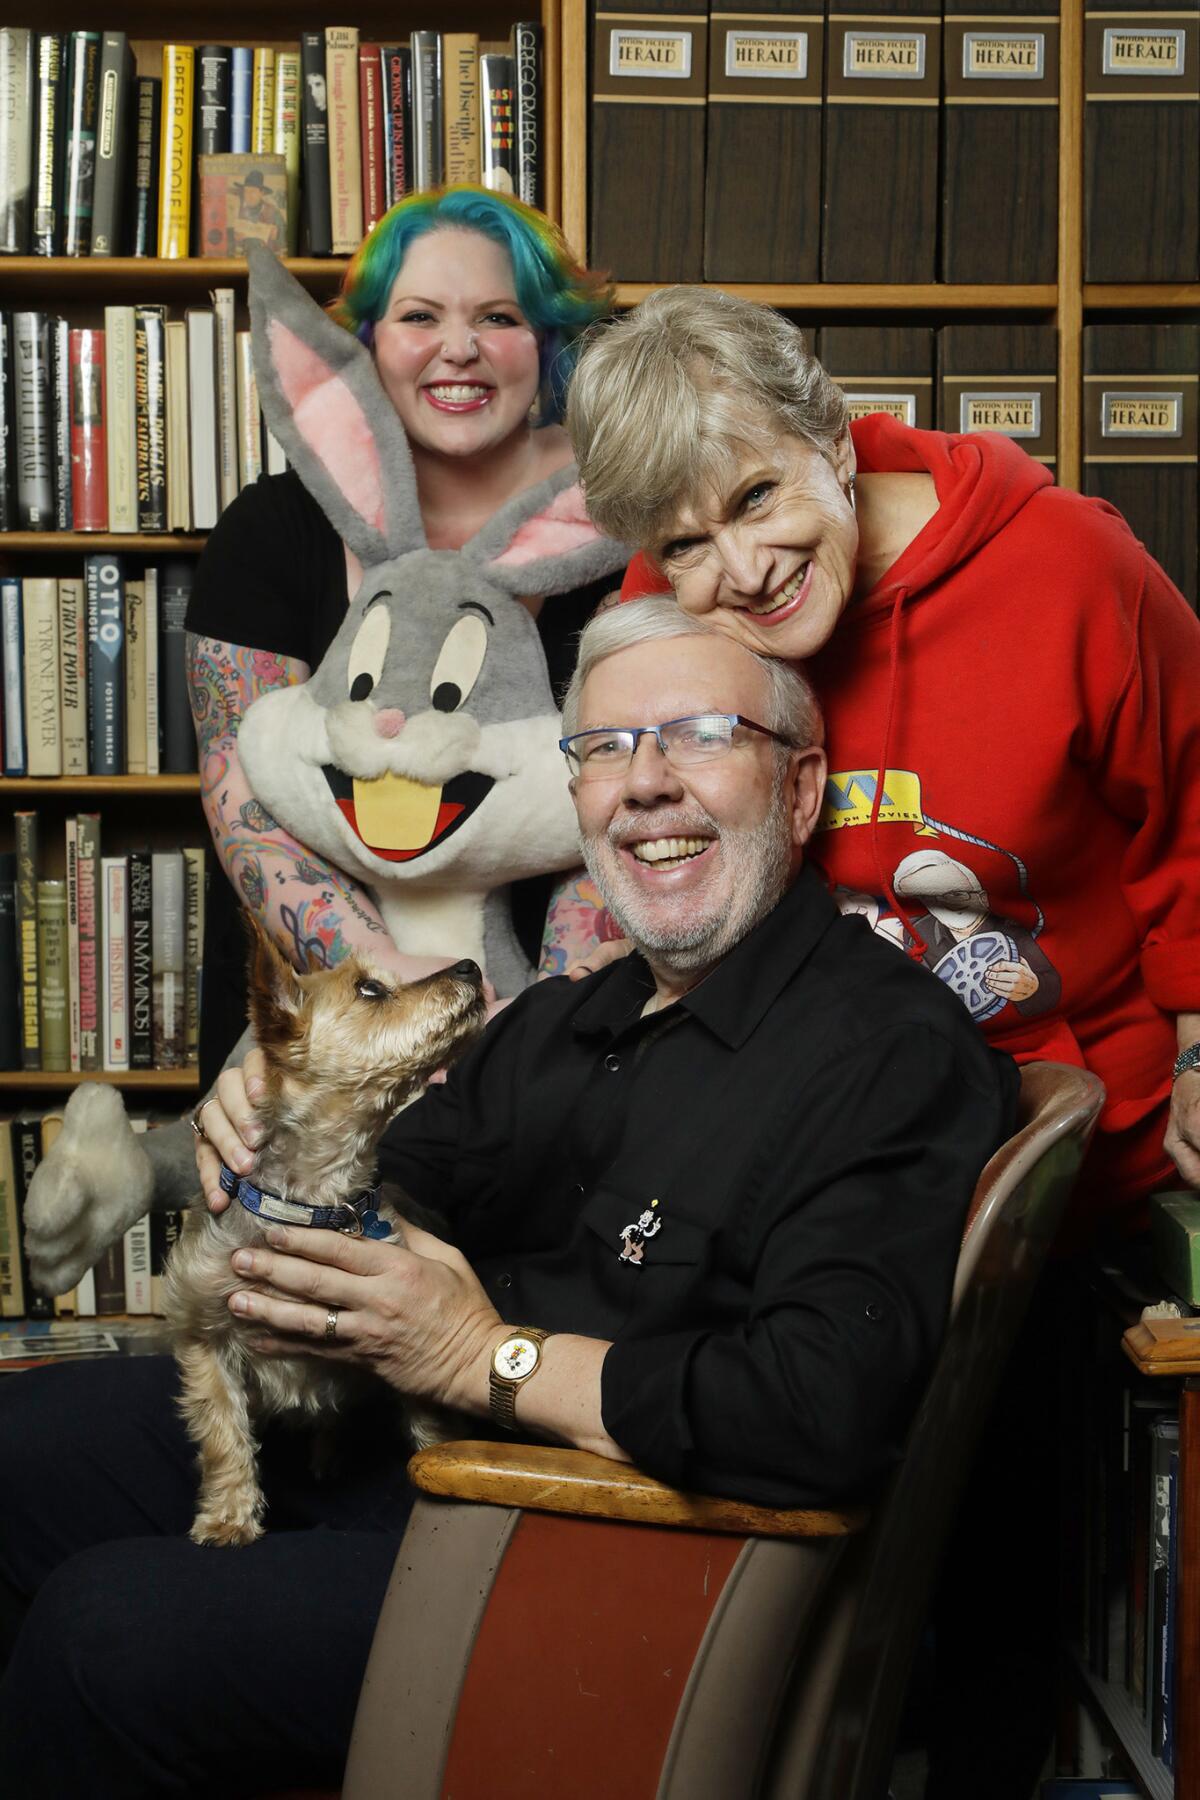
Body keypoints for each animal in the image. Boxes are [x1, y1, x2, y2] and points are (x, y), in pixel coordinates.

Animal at [165, 928, 489, 1548]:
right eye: (370, 989)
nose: (470, 966)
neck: (310, 1203)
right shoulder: (204, 1337)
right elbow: (223, 1435)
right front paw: (228, 1516)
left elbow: (433, 1430)